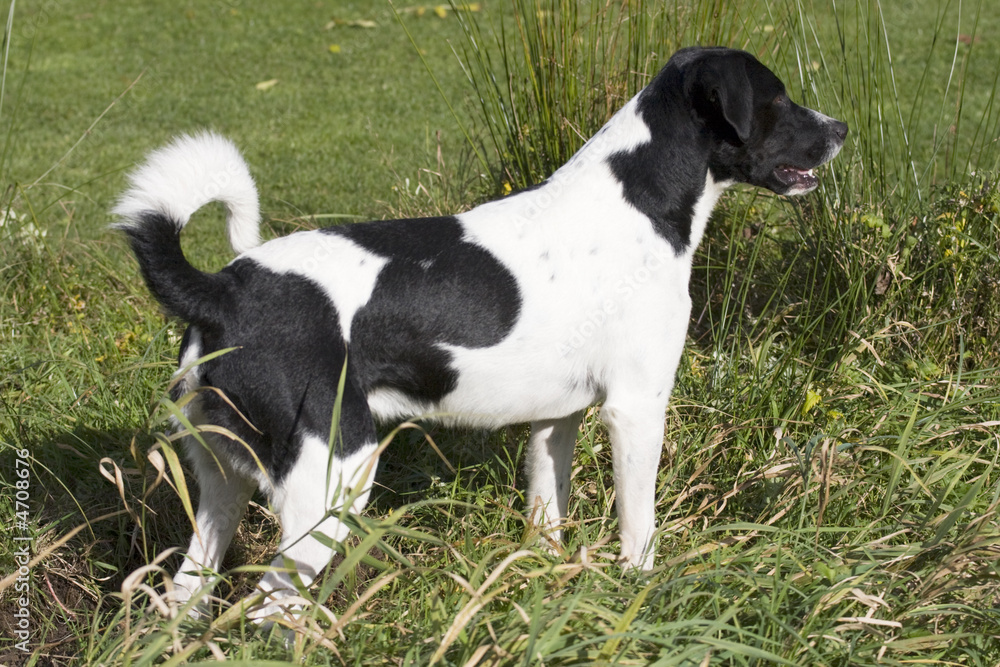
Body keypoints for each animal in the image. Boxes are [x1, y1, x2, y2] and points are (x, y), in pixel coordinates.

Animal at [115, 48, 844, 620]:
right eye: (778, 98)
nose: (840, 127)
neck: (638, 202)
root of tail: (224, 288)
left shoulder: (556, 420)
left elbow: (546, 518)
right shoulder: (635, 410)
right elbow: (639, 529)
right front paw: (641, 596)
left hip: (220, 486)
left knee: (187, 598)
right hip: (334, 476)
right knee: (270, 606)